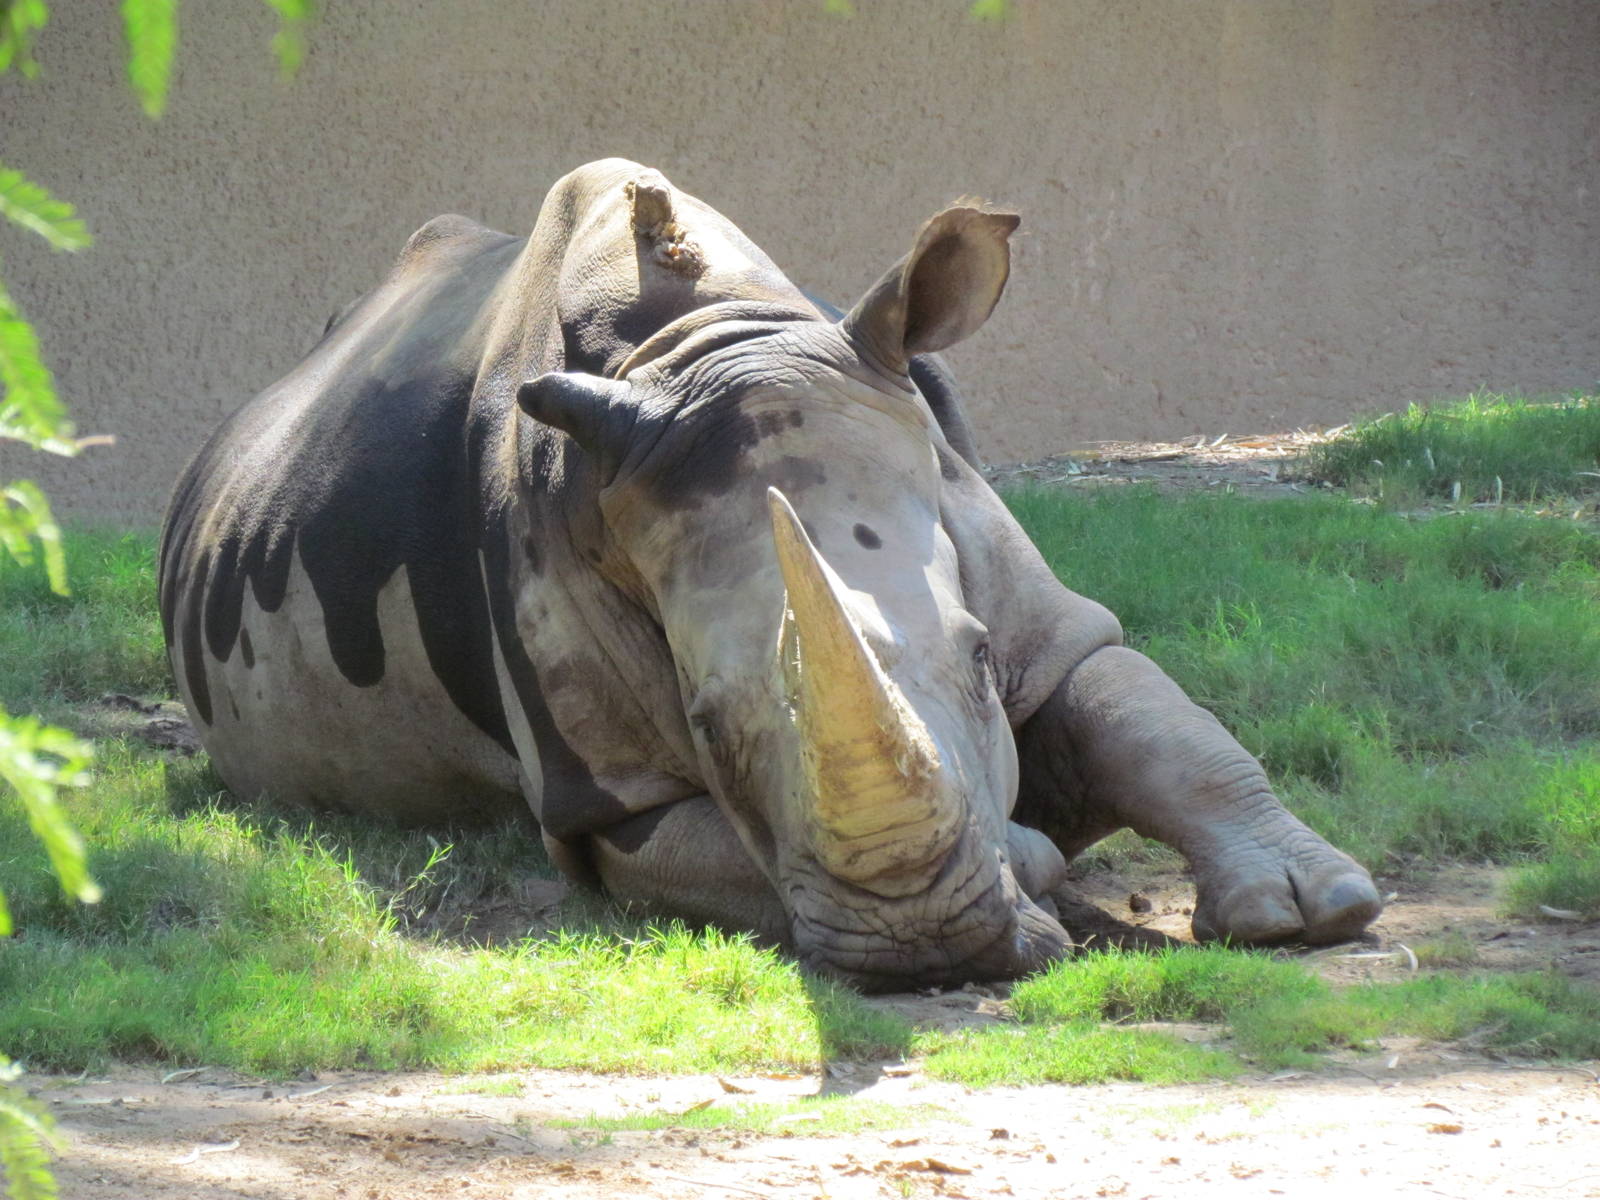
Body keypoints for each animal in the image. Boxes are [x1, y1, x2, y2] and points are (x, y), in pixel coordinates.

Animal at [159, 159, 1381, 988]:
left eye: (982, 661)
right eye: (701, 719)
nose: (924, 943)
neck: (710, 343)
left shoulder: (1004, 563)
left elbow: (1150, 716)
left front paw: (1310, 910)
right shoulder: (605, 795)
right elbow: (721, 858)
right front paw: (1028, 863)